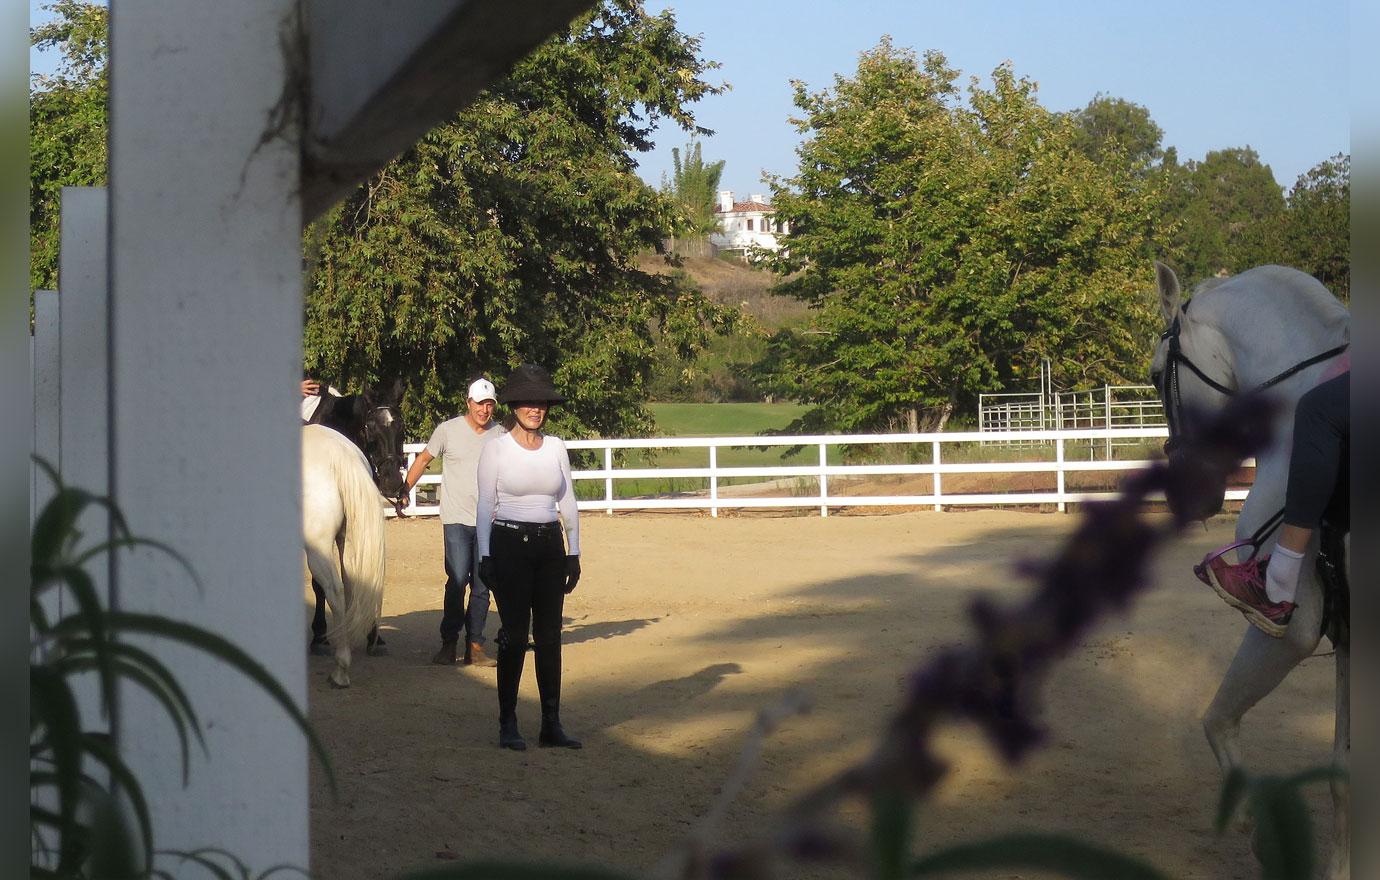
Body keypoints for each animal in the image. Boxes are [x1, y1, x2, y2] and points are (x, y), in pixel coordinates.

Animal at [302, 424, 386, 689]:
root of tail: (342, 452)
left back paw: (340, 669)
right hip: (346, 545)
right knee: (352, 589)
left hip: (318, 548)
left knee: (335, 592)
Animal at [1148, 263, 1352, 880]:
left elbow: (1216, 718)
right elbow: (1343, 773)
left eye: (1154, 376)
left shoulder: (1294, 626)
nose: (1186, 493)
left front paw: (1257, 830)